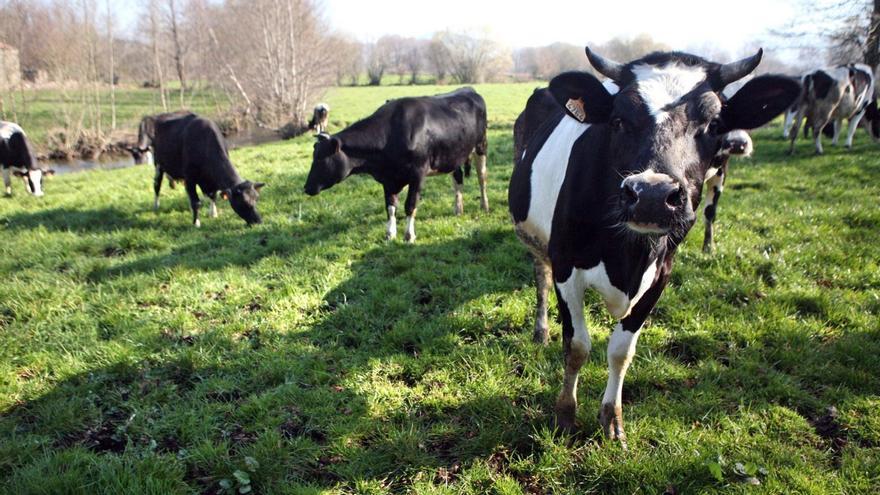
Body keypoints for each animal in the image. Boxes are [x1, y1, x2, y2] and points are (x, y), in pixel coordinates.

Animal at [129, 112, 262, 227]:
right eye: (243, 202)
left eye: (256, 199)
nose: (258, 221)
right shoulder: (190, 177)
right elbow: (196, 202)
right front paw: (196, 223)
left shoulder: (211, 180)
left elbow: (213, 196)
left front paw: (213, 213)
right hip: (158, 164)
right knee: (157, 185)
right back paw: (156, 206)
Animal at [506, 48, 800, 448]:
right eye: (618, 120)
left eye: (714, 123)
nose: (652, 195)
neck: (625, 257)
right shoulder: (567, 265)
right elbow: (577, 346)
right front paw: (565, 416)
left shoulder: (660, 276)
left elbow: (621, 351)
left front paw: (612, 420)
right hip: (537, 240)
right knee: (541, 278)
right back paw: (541, 329)